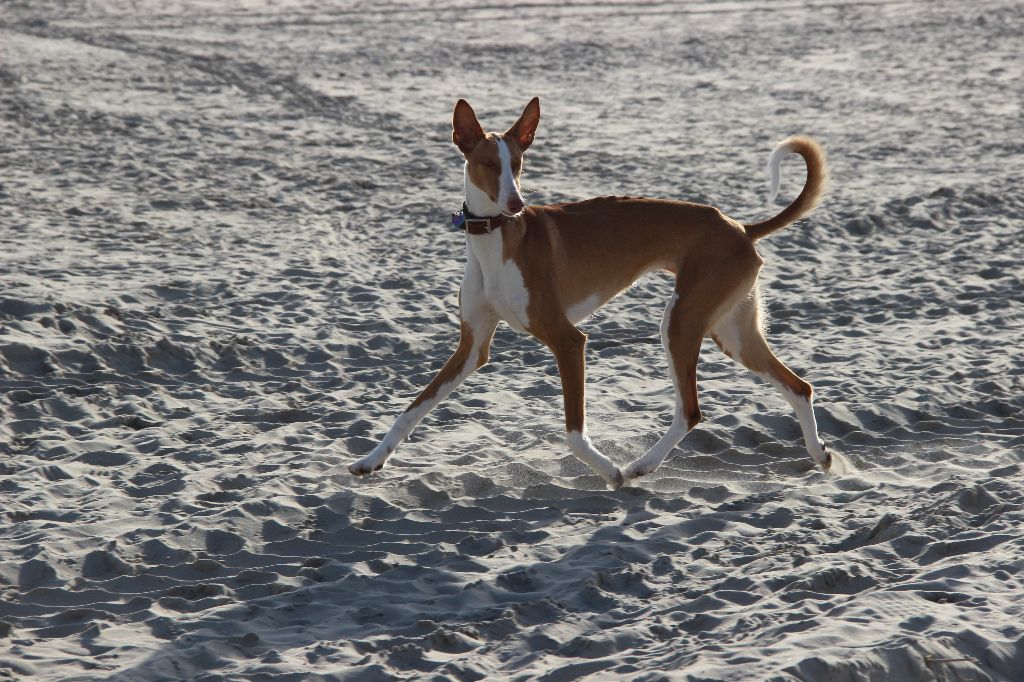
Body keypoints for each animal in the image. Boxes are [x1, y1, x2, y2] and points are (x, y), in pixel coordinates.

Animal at [352, 96, 831, 489]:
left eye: (519, 163)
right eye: (488, 163)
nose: (517, 204)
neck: (496, 239)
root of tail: (739, 227)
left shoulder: (569, 341)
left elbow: (573, 433)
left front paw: (609, 471)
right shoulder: (473, 347)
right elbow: (413, 409)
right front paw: (372, 459)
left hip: (680, 323)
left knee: (692, 410)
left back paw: (640, 466)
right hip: (732, 332)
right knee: (799, 387)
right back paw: (819, 455)